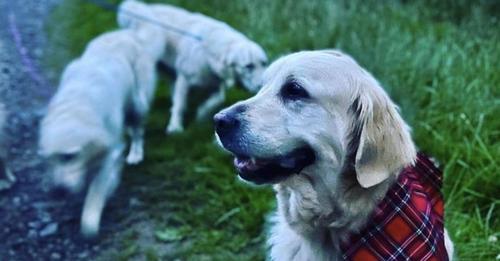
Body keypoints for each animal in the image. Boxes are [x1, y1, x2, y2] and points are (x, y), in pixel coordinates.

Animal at [40, 6, 166, 236]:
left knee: (138, 131)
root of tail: (132, 34)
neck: (77, 104)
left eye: (69, 156)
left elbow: (96, 190)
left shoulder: (109, 150)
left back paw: (135, 154)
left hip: (137, 103)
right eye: (49, 159)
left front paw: (90, 220)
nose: (58, 192)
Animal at [116, 0, 268, 133]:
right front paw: (175, 127)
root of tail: (144, 7)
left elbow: (217, 99)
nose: (262, 85)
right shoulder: (184, 78)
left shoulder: (215, 81)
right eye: (248, 66)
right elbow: (180, 105)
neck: (209, 50)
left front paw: (201, 114)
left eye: (264, 63)